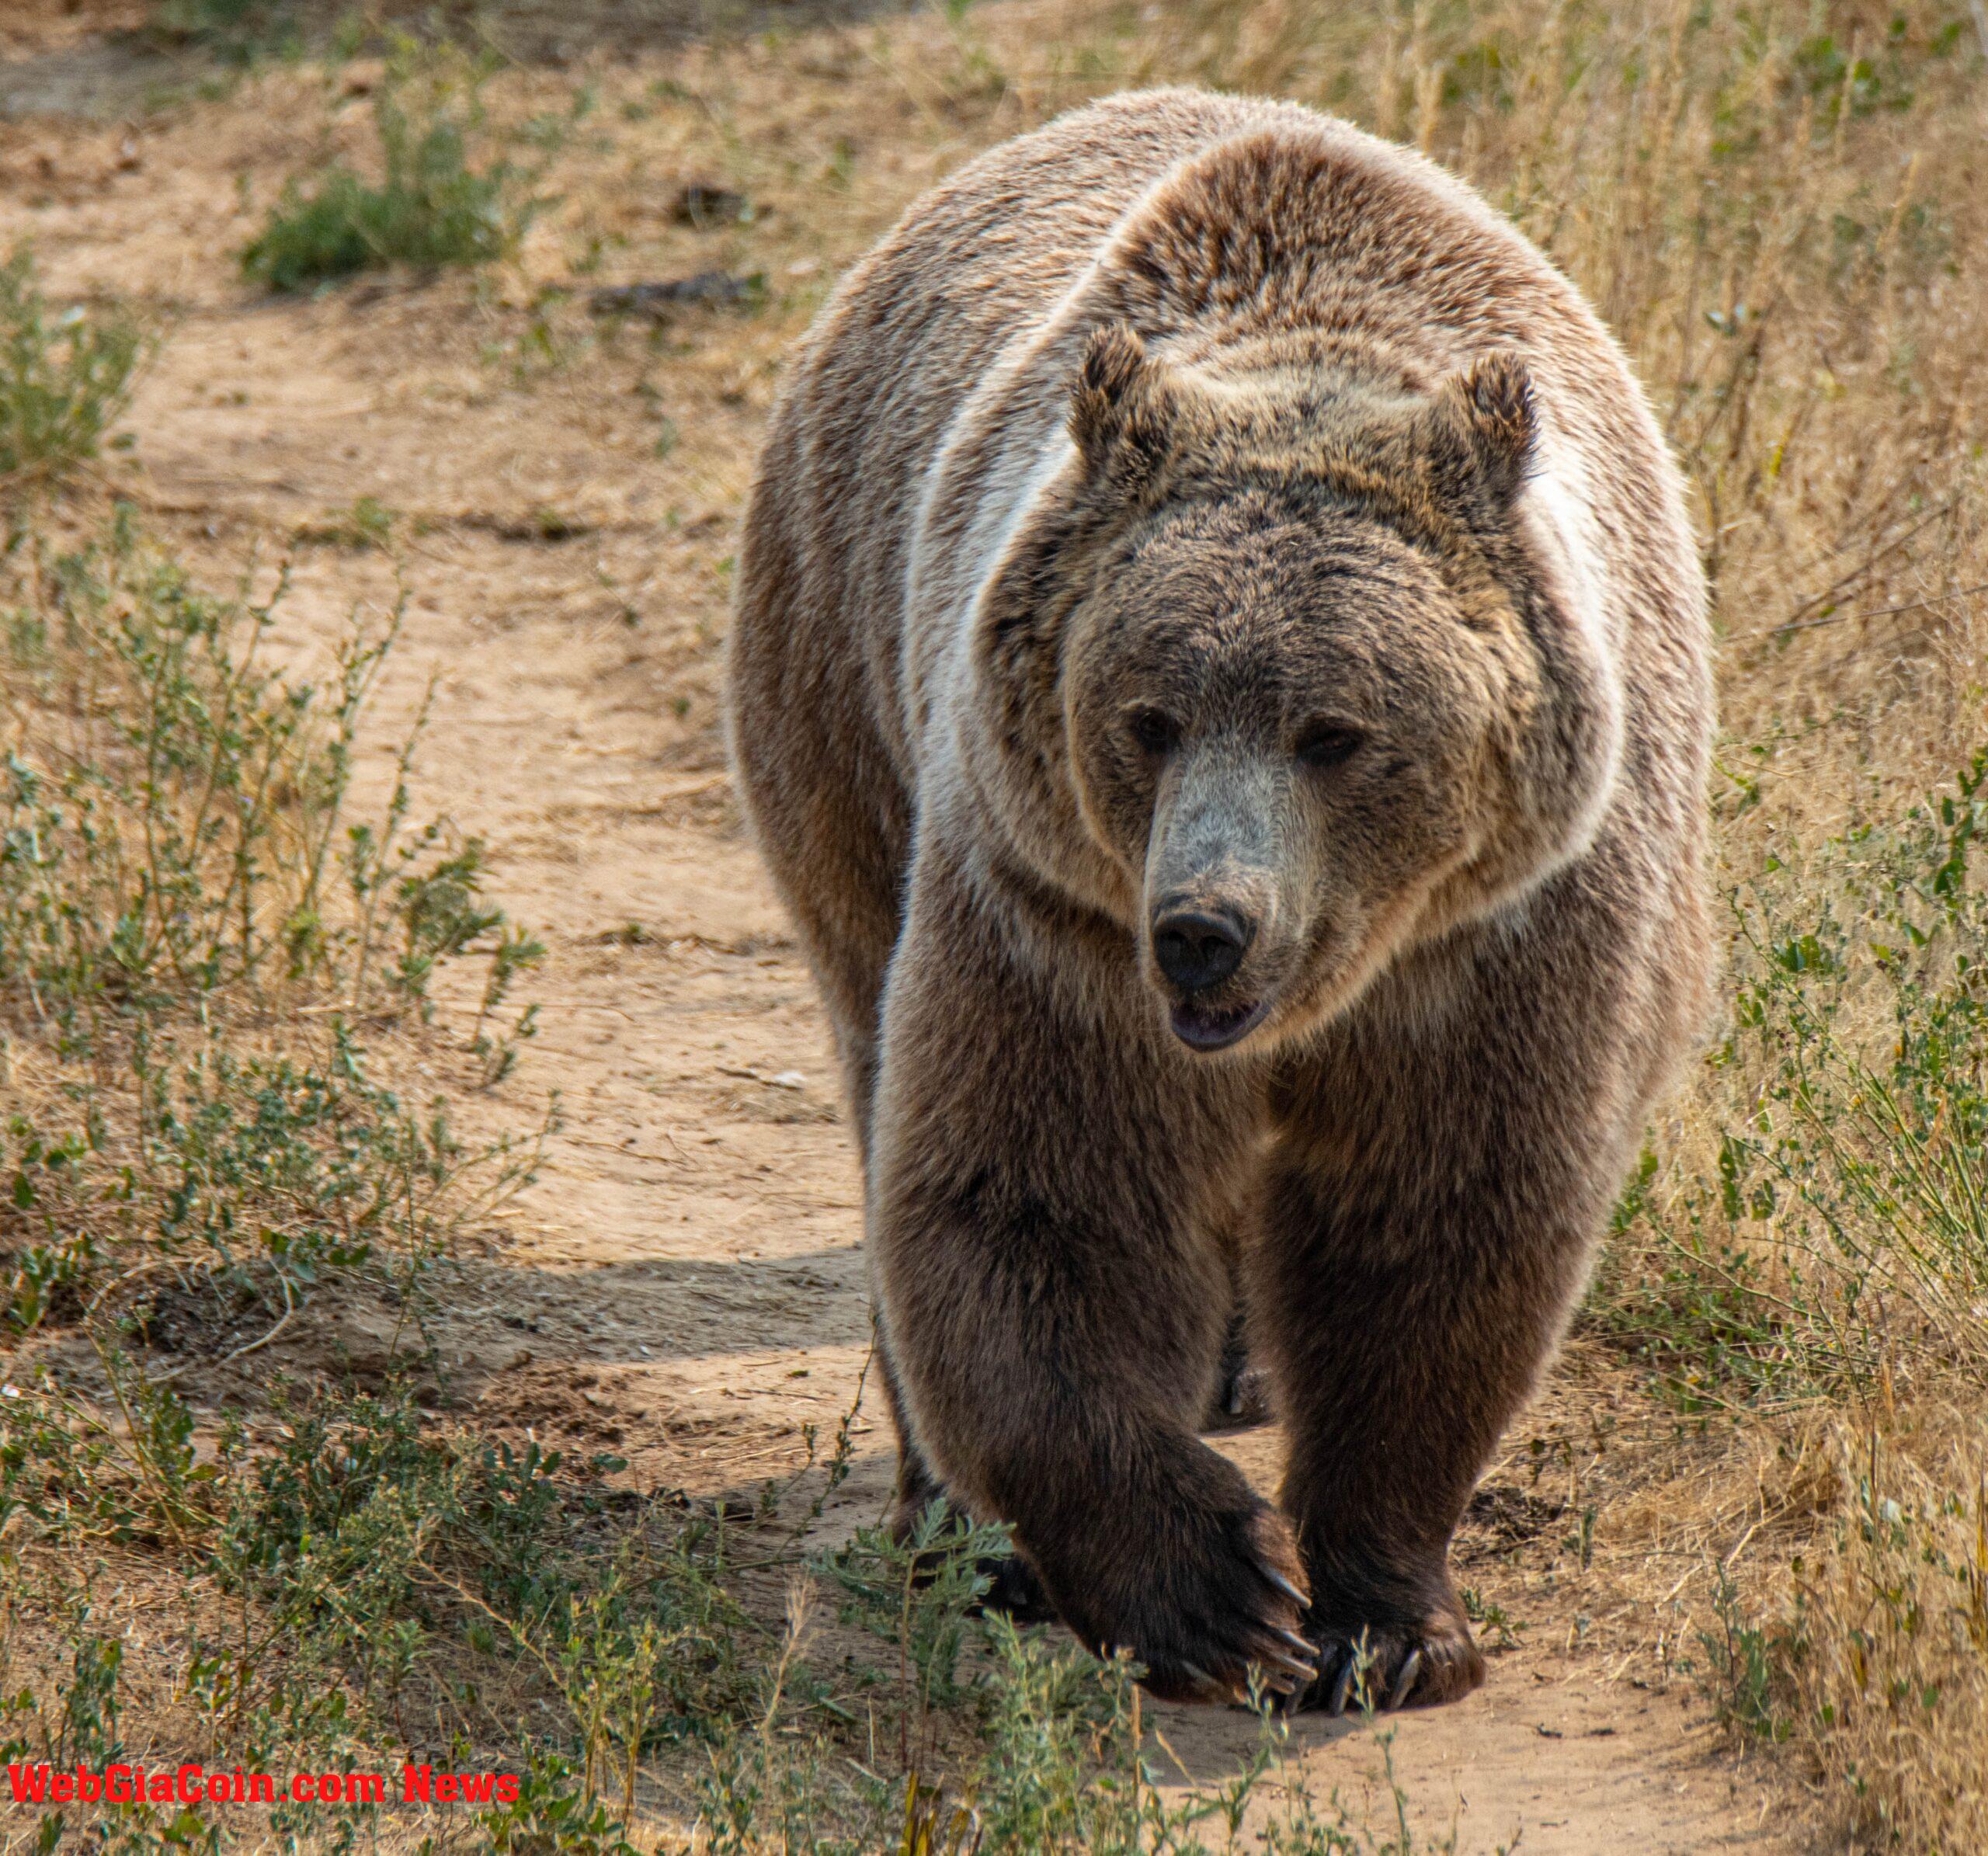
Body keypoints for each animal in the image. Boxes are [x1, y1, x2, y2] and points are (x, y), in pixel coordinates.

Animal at [727, 87, 1709, 1716]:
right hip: (843, 690)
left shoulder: (1515, 929)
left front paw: (1389, 1618)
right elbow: (1035, 1195)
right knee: (876, 1056)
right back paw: (960, 1534)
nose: (1203, 927)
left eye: (1336, 731)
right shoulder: (1051, 910)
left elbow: (1438, 1221)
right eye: (1149, 716)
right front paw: (1214, 1596)